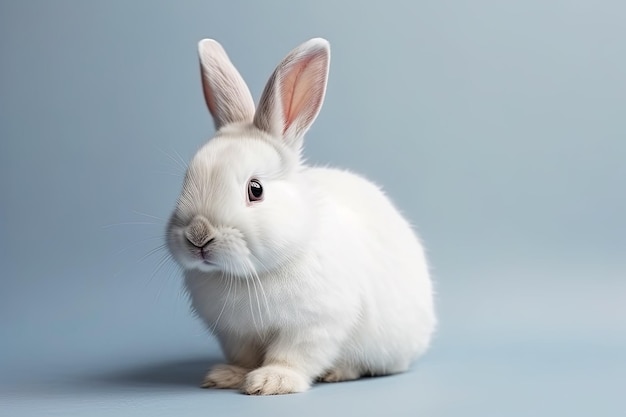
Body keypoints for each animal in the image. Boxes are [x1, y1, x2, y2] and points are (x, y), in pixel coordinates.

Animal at [166, 37, 434, 394]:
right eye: (186, 180)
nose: (198, 235)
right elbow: (245, 357)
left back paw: (337, 372)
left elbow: (293, 355)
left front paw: (271, 381)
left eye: (255, 189)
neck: (248, 275)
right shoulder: (236, 333)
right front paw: (227, 376)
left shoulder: (314, 325)